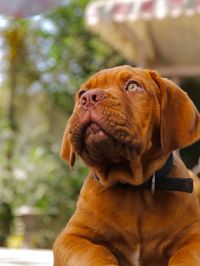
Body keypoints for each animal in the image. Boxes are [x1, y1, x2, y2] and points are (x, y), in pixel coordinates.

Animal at [53, 66, 200, 266]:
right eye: (82, 93)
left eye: (132, 86)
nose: (89, 97)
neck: (134, 188)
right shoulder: (71, 237)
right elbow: (95, 251)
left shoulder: (194, 236)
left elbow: (185, 255)